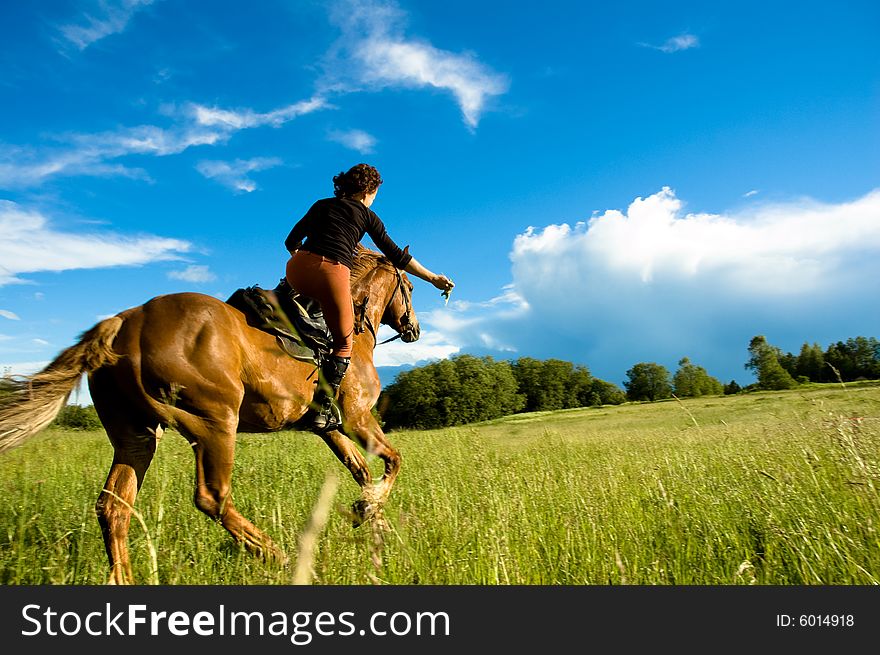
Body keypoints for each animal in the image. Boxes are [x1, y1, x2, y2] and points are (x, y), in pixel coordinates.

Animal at [0, 249, 418, 588]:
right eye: (410, 287)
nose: (414, 329)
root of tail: (127, 321)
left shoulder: (331, 429)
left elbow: (361, 471)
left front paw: (373, 519)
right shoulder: (357, 418)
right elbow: (394, 461)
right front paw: (367, 511)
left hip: (136, 436)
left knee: (113, 506)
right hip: (214, 423)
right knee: (212, 497)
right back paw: (280, 557)